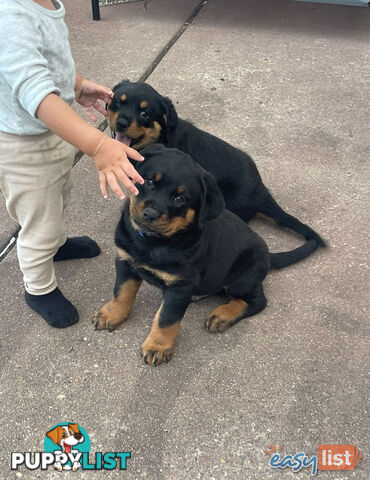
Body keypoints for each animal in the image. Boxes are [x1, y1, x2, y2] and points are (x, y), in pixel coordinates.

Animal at [94, 144, 296, 366]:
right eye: (148, 181)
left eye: (179, 198)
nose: (149, 214)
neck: (153, 242)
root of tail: (269, 256)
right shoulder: (125, 261)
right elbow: (122, 291)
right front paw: (111, 314)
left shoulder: (180, 285)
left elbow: (166, 318)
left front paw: (157, 346)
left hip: (241, 277)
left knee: (257, 301)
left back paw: (222, 316)